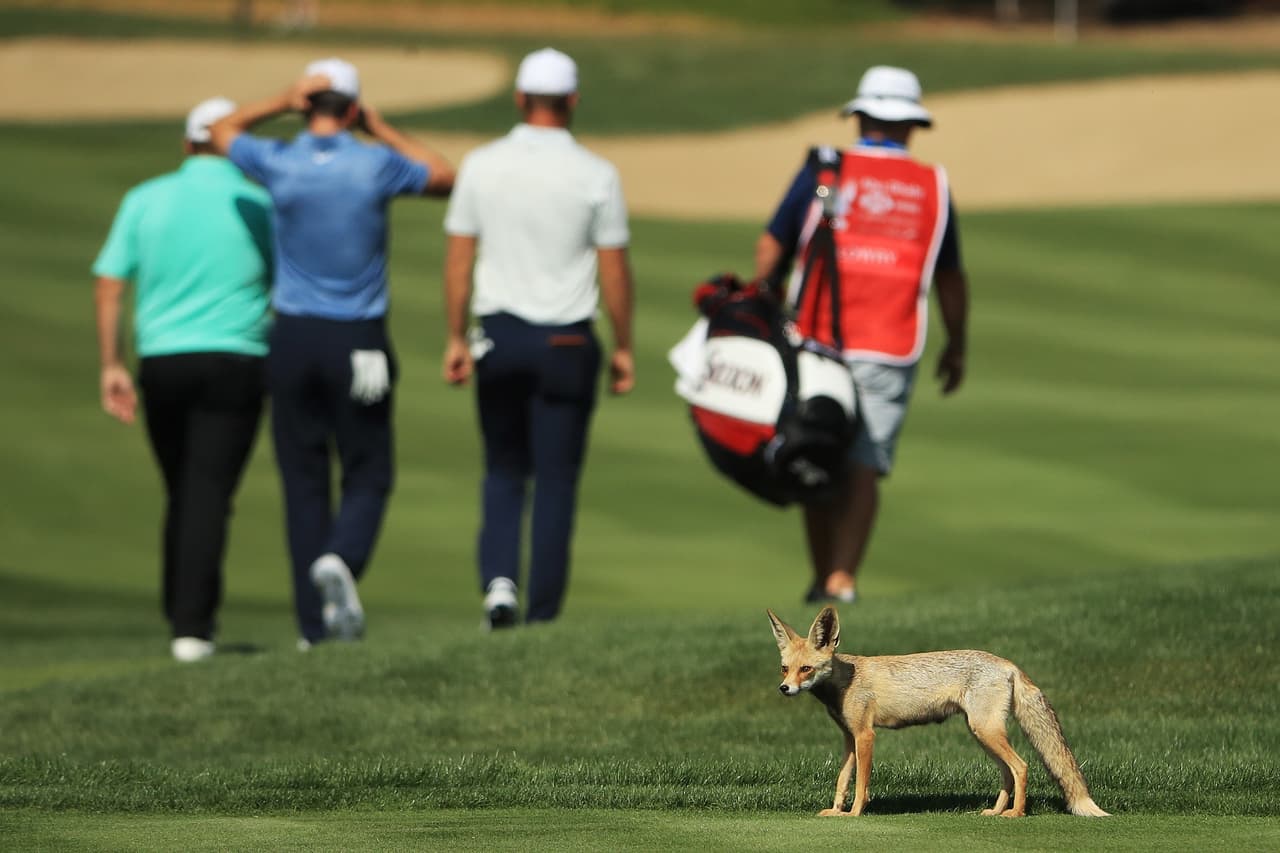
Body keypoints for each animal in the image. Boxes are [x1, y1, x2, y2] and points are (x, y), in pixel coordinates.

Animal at [768, 606, 1109, 818]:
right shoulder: (849, 737)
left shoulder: (866, 735)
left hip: (986, 730)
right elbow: (842, 780)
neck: (845, 680)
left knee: (1022, 766)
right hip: (981, 732)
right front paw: (836, 811)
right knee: (1007, 773)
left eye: (806, 669)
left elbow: (861, 783)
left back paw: (1016, 813)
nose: (784, 689)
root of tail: (1007, 663)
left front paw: (854, 814)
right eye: (785, 668)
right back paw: (997, 811)